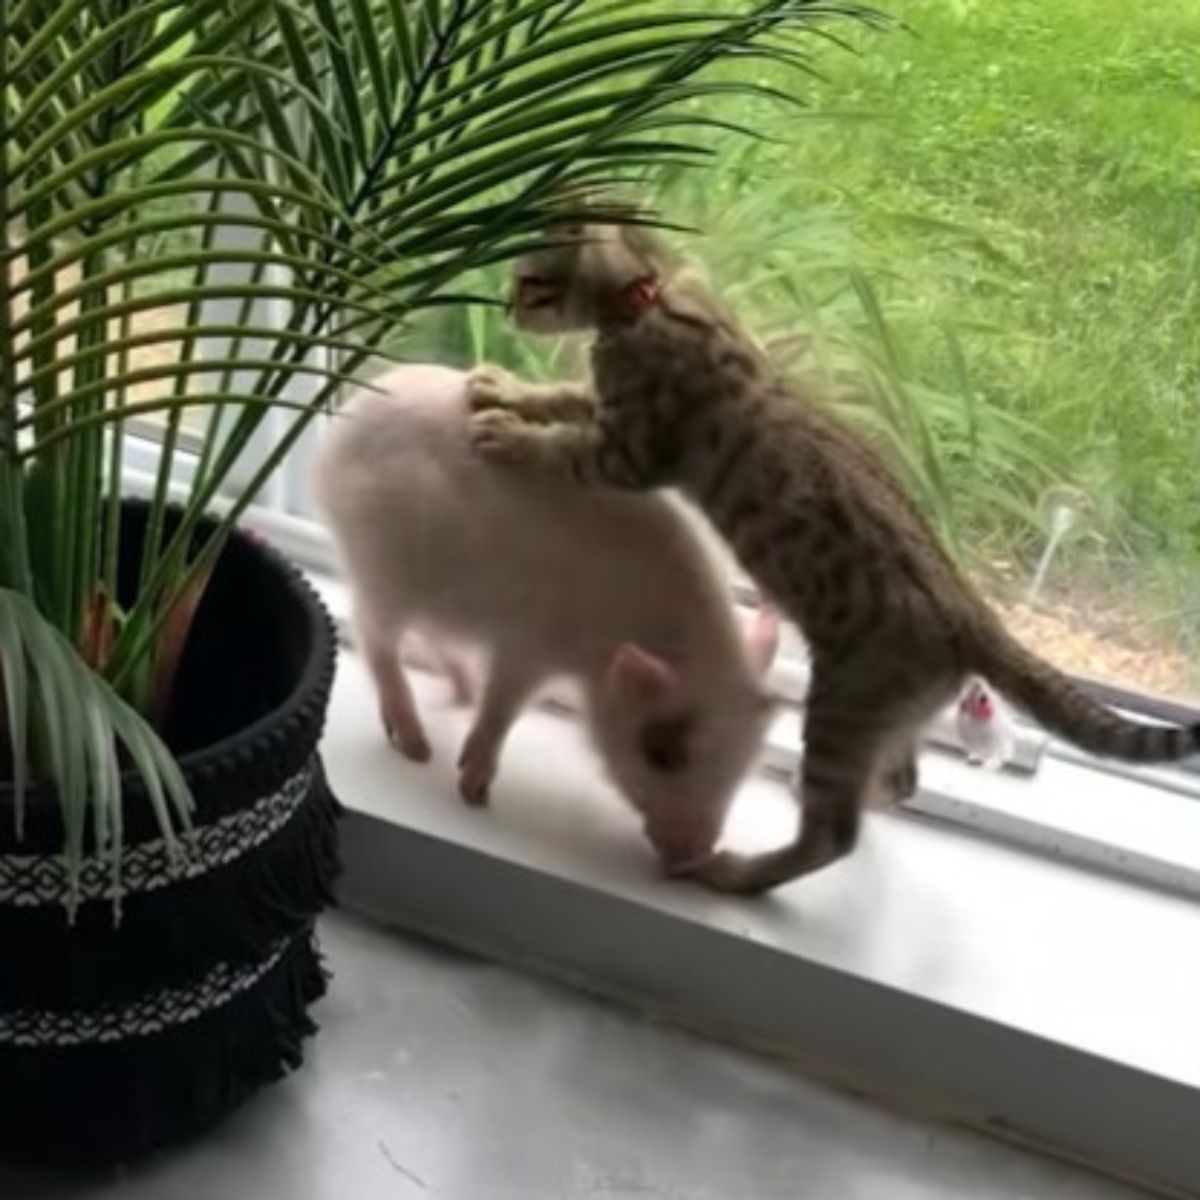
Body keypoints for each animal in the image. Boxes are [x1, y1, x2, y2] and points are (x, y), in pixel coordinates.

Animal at [312, 360, 777, 868]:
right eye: (660, 752)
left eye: (748, 758)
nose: (695, 855)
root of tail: (334, 441)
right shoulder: (529, 641)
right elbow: (503, 706)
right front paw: (474, 796)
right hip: (384, 570)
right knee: (373, 633)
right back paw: (417, 747)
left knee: (431, 638)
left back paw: (462, 691)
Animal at [468, 216, 1200, 897]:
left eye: (529, 282)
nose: (502, 305)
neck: (653, 300)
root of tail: (973, 616)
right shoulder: (608, 410)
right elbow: (560, 396)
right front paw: (504, 389)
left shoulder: (632, 451)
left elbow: (564, 441)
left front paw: (511, 432)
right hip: (888, 718)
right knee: (900, 781)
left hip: (843, 709)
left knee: (832, 835)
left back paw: (741, 873)